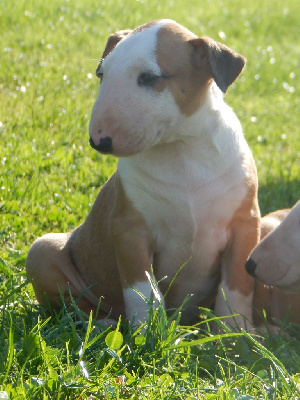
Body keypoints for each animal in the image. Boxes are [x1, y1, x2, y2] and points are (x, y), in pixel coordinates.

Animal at [26, 19, 260, 328]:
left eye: (149, 77)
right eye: (101, 74)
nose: (98, 141)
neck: (181, 152)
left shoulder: (245, 225)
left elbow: (236, 287)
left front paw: (236, 333)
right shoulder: (130, 229)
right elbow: (141, 289)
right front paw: (148, 332)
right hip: (42, 252)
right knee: (73, 307)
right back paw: (105, 325)